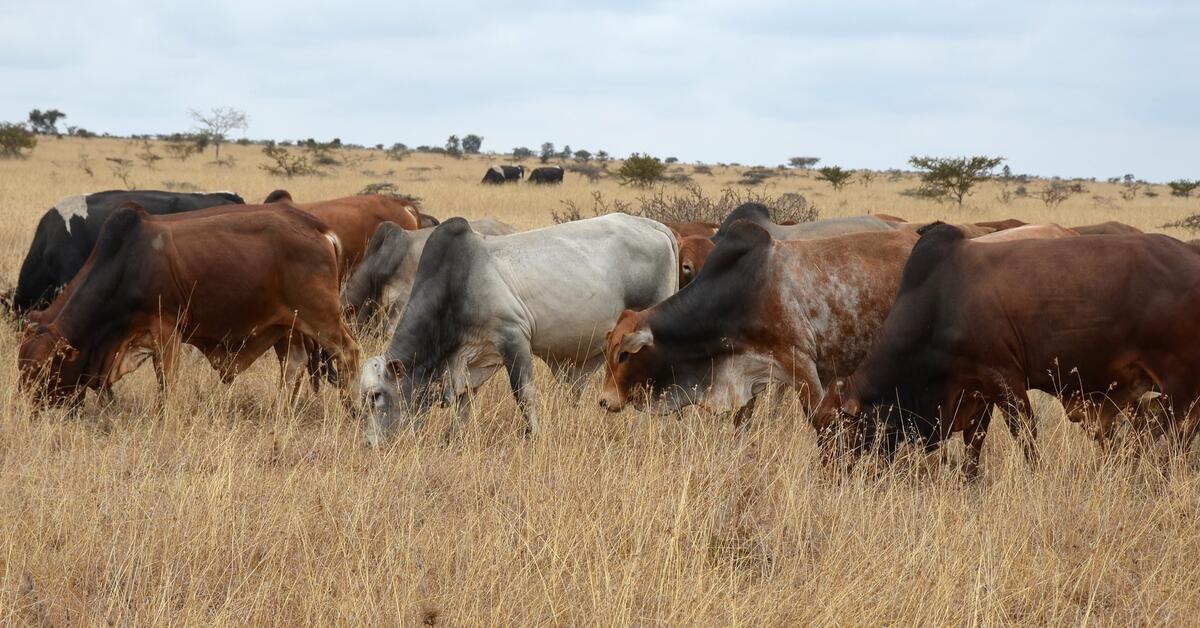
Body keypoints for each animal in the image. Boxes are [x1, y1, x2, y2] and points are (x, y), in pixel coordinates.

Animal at [18, 204, 357, 405]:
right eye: (21, 365)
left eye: (41, 368)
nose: (28, 409)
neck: (125, 263)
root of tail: (318, 228)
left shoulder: (167, 329)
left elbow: (166, 384)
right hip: (290, 326)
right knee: (294, 365)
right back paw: (280, 411)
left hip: (322, 318)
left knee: (349, 352)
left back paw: (351, 408)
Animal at [597, 223, 916, 429]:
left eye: (623, 355)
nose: (603, 401)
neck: (743, 293)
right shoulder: (748, 371)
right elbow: (742, 421)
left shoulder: (802, 365)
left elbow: (820, 420)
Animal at [811, 226, 1200, 482]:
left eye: (837, 430)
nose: (827, 478)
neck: (939, 301)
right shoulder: (975, 390)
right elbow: (974, 442)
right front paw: (969, 481)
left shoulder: (1003, 377)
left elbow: (1024, 434)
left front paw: (1035, 477)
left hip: (1181, 384)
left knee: (1179, 432)